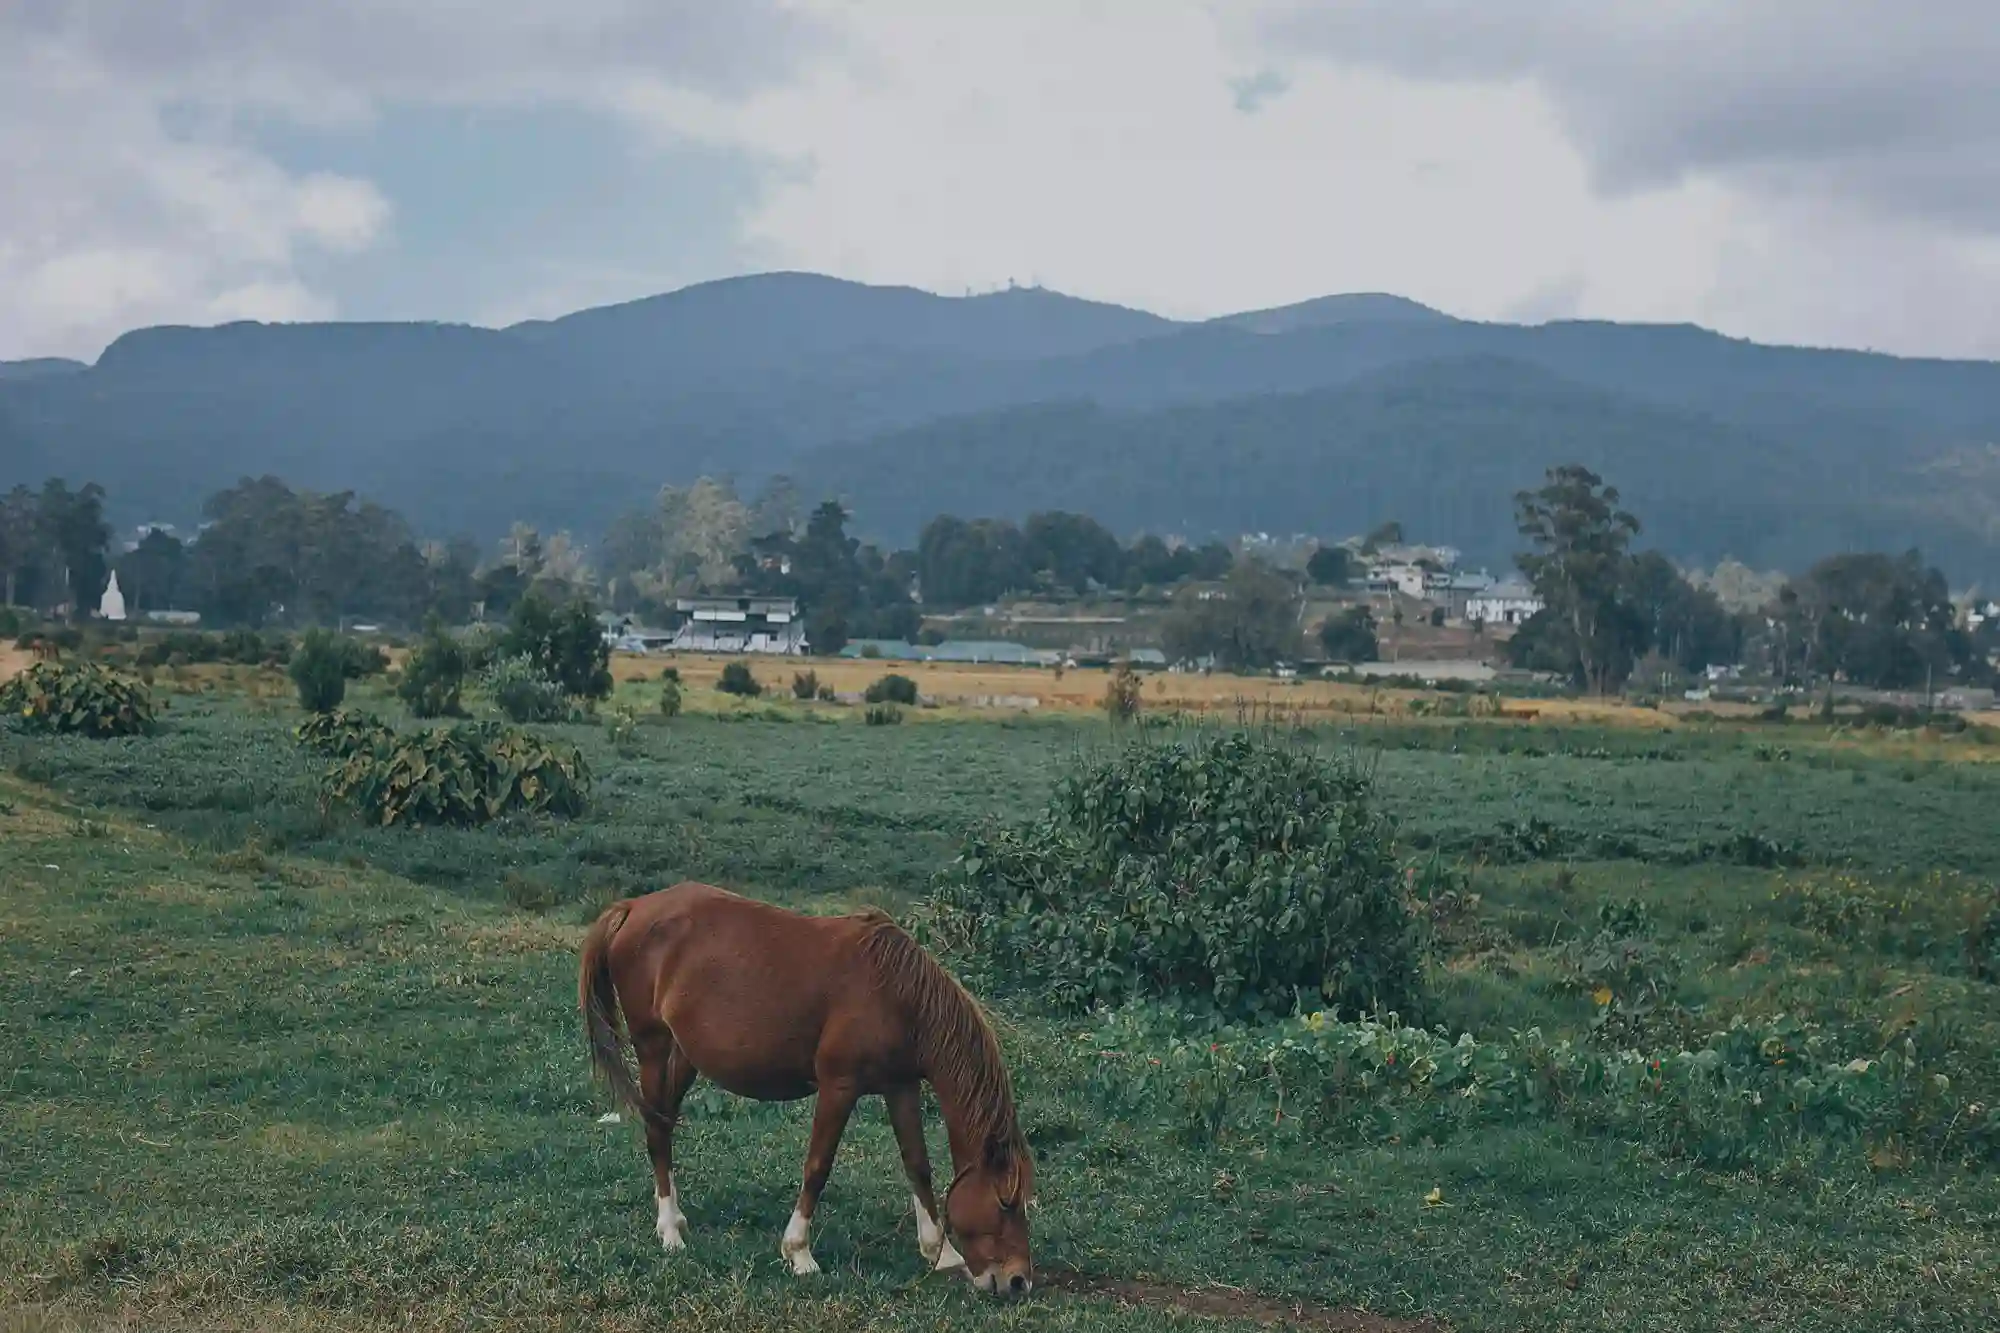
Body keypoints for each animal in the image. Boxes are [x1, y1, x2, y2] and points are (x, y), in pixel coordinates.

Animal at [579, 881, 1035, 1296]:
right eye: (1005, 1202)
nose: (1018, 1281)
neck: (898, 996)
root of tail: (633, 906)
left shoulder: (901, 1087)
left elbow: (918, 1166)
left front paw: (942, 1255)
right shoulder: (839, 1086)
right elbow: (818, 1167)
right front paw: (799, 1253)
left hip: (684, 1056)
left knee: (664, 1123)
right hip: (653, 1047)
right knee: (657, 1130)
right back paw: (670, 1231)